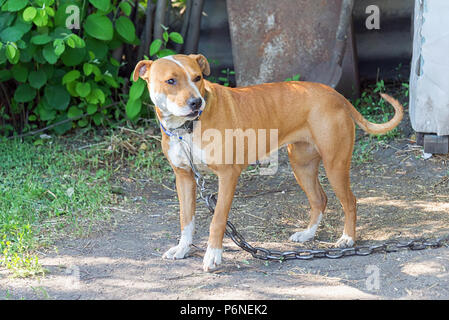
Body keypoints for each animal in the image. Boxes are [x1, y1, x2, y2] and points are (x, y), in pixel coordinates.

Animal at [133, 53, 402, 272]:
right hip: (302, 166)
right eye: (171, 81)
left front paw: (213, 256)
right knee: (319, 199)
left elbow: (217, 220)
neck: (187, 128)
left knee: (350, 201)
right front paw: (182, 249)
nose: (196, 102)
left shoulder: (227, 177)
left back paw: (347, 238)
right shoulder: (184, 178)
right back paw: (307, 234)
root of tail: (337, 95)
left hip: (335, 165)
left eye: (197, 78)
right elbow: (186, 220)